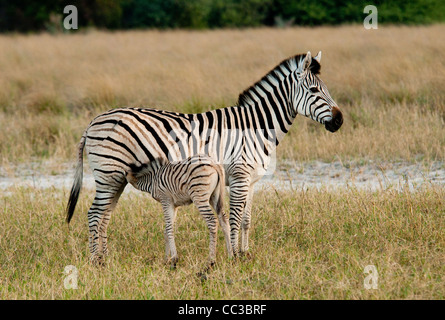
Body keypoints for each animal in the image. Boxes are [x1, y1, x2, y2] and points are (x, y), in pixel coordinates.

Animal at [67, 51, 344, 262]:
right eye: (314, 90)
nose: (339, 120)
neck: (255, 127)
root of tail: (94, 121)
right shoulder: (240, 176)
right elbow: (234, 218)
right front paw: (234, 256)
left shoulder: (252, 180)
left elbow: (247, 219)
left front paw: (245, 254)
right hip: (109, 174)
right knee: (94, 214)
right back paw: (95, 261)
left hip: (117, 178)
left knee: (105, 214)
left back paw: (104, 257)